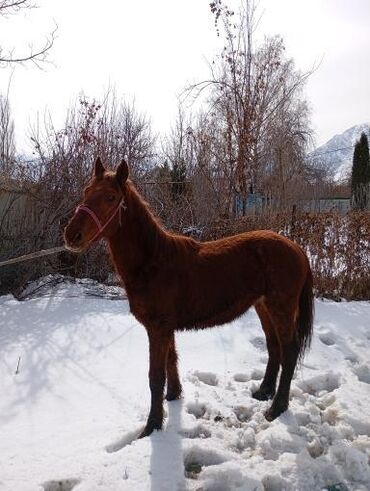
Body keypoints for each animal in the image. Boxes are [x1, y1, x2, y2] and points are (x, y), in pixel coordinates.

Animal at [63, 160, 312, 440]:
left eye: (110, 197)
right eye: (86, 192)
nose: (71, 235)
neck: (152, 262)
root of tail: (296, 248)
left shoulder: (158, 328)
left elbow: (155, 376)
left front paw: (152, 426)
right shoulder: (165, 328)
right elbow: (171, 360)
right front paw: (173, 397)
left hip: (281, 307)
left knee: (289, 350)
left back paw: (277, 408)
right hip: (263, 306)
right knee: (274, 346)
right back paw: (264, 392)